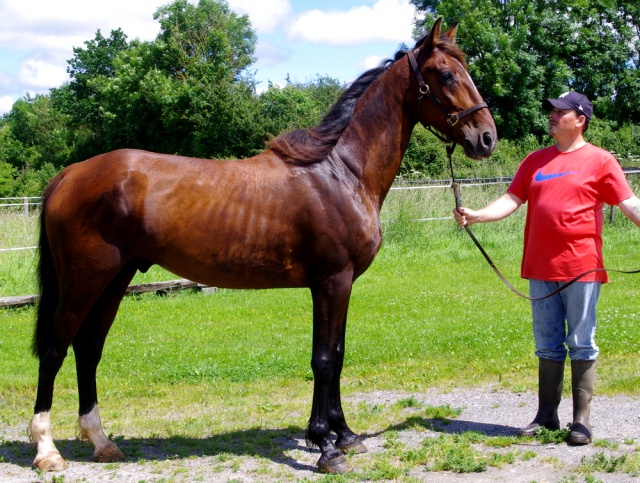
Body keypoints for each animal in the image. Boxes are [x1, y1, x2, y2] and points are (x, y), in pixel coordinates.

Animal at [30, 19, 498, 476]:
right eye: (445, 74)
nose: (487, 138)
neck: (341, 172)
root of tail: (70, 173)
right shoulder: (332, 281)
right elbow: (324, 360)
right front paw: (326, 447)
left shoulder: (339, 285)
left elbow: (337, 355)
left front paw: (343, 435)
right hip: (84, 281)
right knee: (54, 350)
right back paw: (47, 451)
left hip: (114, 279)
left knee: (88, 348)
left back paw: (101, 441)